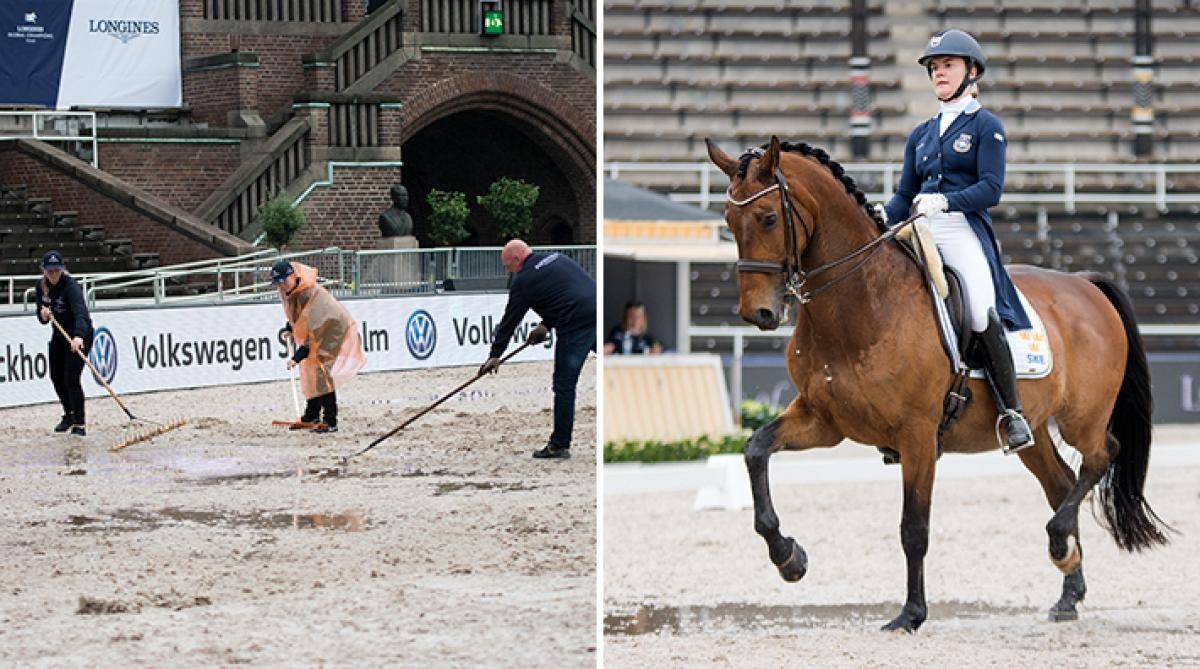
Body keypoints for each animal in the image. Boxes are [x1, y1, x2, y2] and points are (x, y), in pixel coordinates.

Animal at [700, 137, 1171, 633]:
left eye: (769, 217)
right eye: (729, 221)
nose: (758, 314)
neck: (861, 301)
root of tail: (1085, 284)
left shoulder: (918, 434)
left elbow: (914, 528)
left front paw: (910, 614)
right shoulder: (823, 421)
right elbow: (755, 451)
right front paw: (789, 557)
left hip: (1084, 417)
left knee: (1102, 456)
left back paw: (1060, 545)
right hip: (1035, 429)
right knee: (1062, 484)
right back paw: (1068, 590)